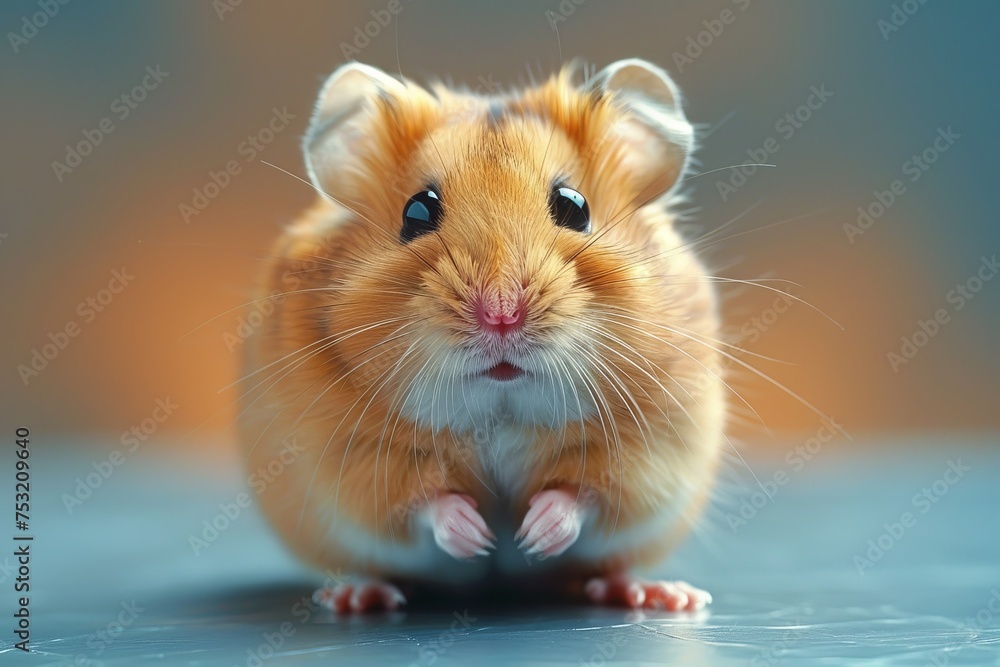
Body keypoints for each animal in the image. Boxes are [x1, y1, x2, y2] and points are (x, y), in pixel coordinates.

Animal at [238, 59, 724, 612]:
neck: (500, 406)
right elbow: (423, 499)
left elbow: (585, 493)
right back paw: (357, 597)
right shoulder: (357, 459)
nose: (501, 314)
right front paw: (479, 538)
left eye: (575, 207)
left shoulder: (648, 452)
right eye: (417, 211)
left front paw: (533, 532)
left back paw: (665, 595)